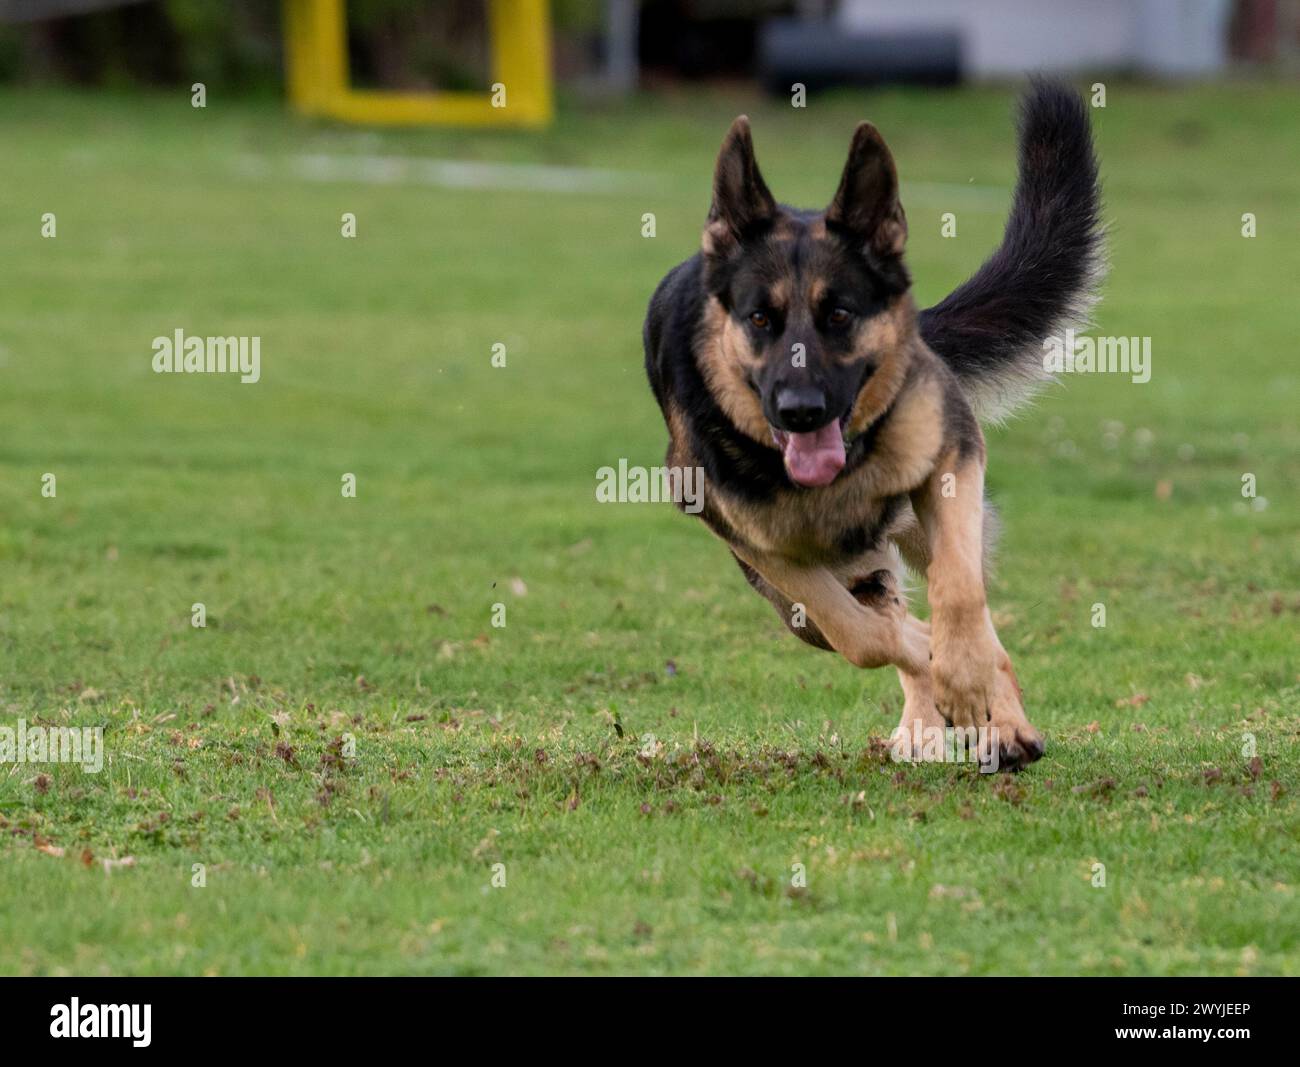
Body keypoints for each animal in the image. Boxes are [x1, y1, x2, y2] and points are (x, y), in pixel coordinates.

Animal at [644, 81, 1102, 764]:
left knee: (967, 607)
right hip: (818, 586)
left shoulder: (953, 460)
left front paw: (973, 681)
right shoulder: (767, 553)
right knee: (880, 617)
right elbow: (866, 637)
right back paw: (932, 716)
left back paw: (997, 717)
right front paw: (937, 668)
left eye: (840, 315)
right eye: (759, 319)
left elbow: (958, 594)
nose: (801, 410)